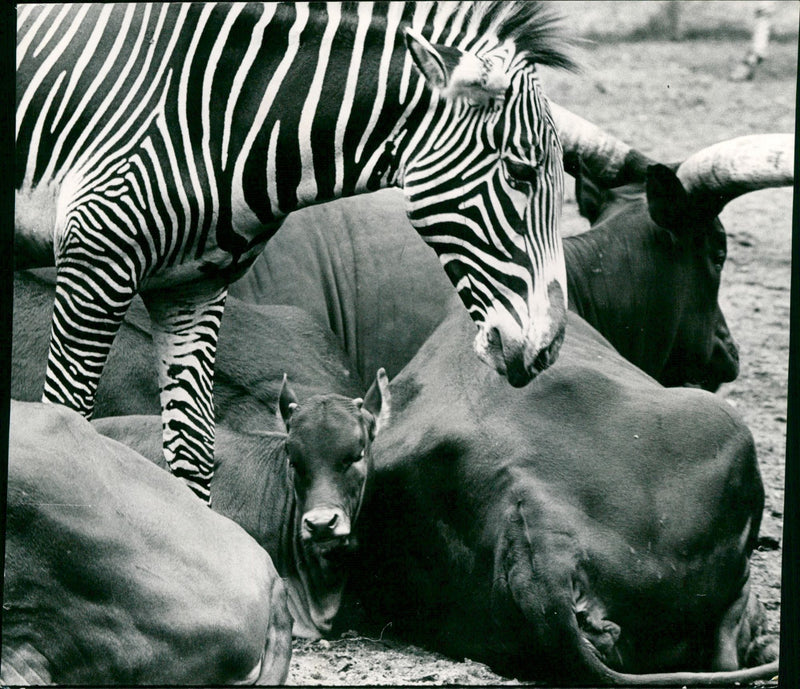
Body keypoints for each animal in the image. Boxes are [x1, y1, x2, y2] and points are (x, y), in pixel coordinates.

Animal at [16, 2, 575, 503]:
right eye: (520, 173)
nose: (548, 349)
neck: (222, 115)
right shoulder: (95, 260)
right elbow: (68, 419)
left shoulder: (190, 287)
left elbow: (193, 457)